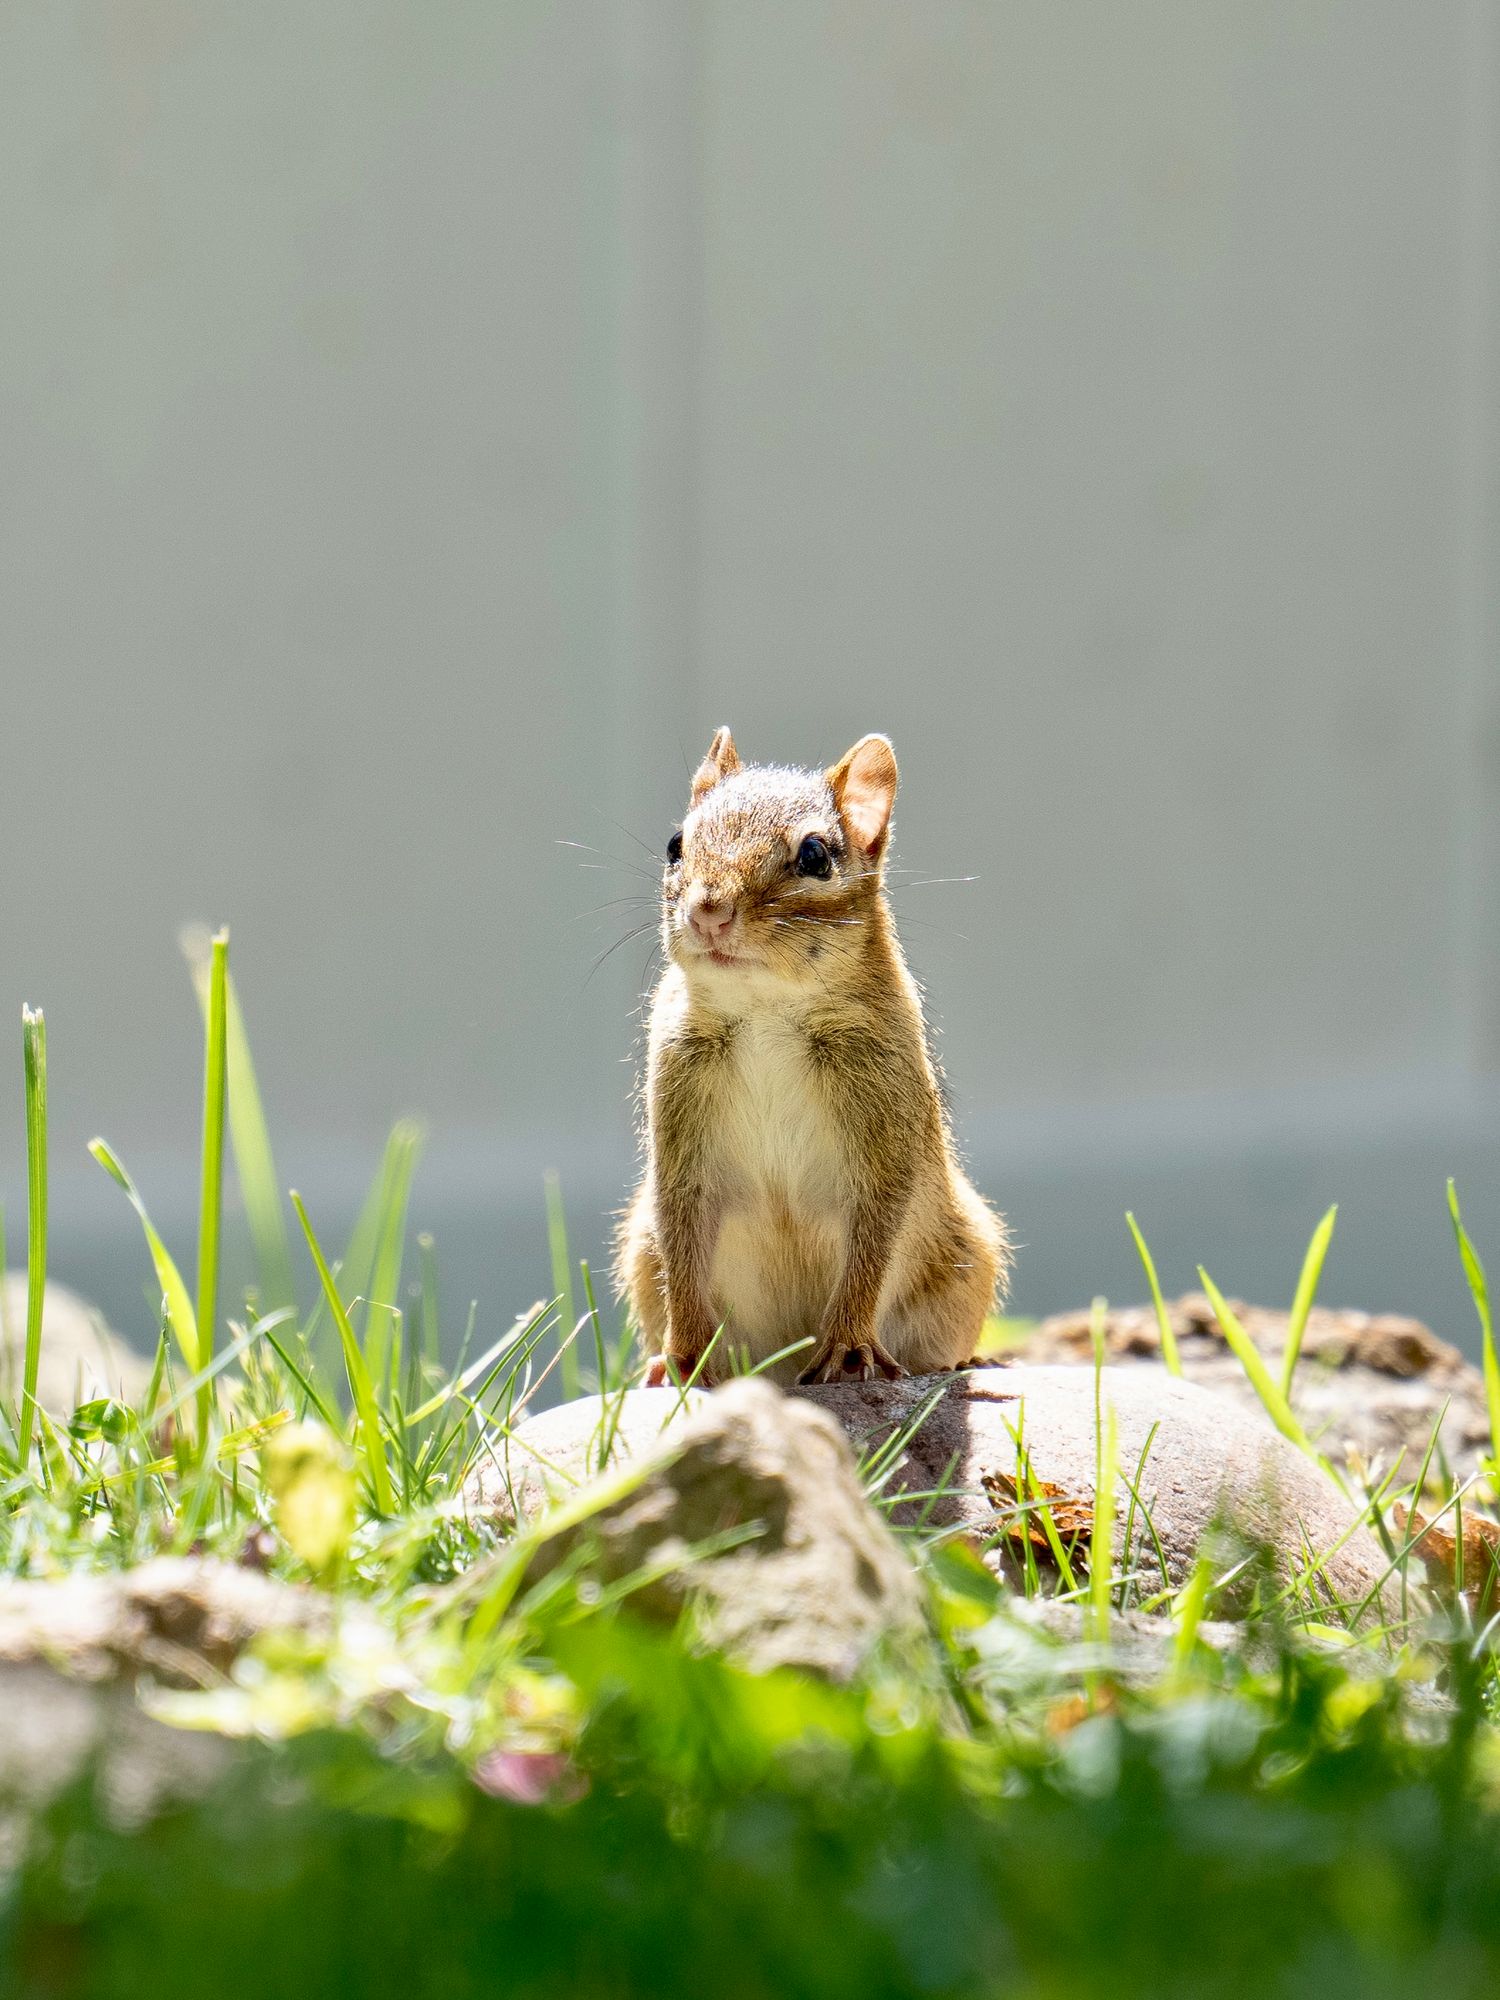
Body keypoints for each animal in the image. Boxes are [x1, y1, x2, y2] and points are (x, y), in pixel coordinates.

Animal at [615, 727, 1010, 1388]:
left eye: (815, 857)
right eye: (675, 844)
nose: (709, 909)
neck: (766, 1012)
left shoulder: (883, 1122)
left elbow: (875, 1237)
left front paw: (849, 1348)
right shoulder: (680, 1121)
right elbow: (683, 1236)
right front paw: (683, 1357)